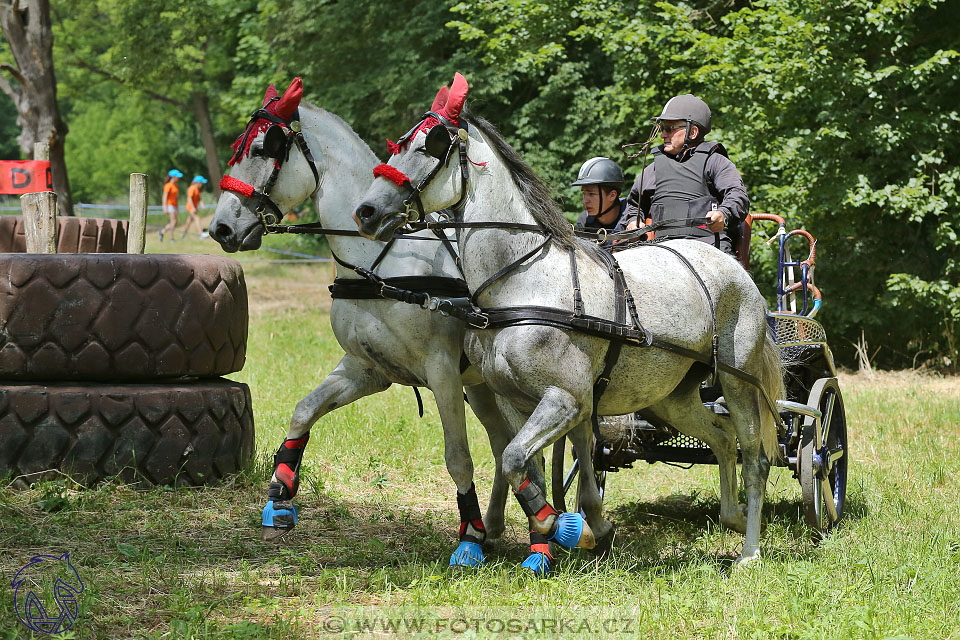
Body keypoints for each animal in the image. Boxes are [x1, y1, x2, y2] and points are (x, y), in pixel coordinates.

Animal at [208, 81, 548, 568]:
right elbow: (304, 411)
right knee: (506, 442)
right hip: (482, 386)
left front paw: (468, 536)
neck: (378, 265)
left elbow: (458, 457)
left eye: (262, 149)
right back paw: (505, 523)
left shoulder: (441, 373)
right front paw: (280, 495)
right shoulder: (366, 369)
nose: (220, 228)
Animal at [354, 74, 788, 564]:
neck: (523, 279)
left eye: (431, 146)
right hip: (672, 397)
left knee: (755, 455)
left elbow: (515, 459)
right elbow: (528, 464)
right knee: (721, 439)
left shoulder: (565, 399)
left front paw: (560, 527)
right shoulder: (522, 400)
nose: (366, 211)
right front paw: (559, 535)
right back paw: (730, 516)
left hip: (736, 380)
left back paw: (749, 549)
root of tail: (732, 268)